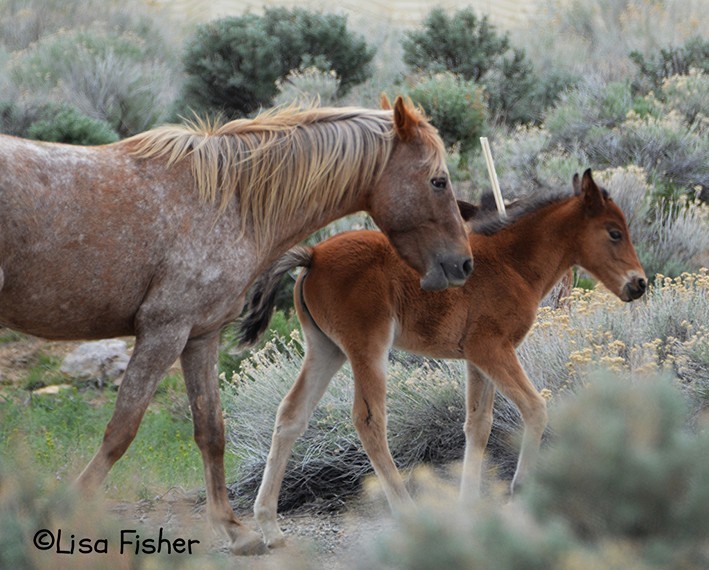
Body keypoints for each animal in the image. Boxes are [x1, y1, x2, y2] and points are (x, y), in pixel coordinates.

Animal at [0, 96, 472, 554]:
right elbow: (121, 430)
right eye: (438, 181)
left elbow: (211, 430)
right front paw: (60, 513)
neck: (227, 201)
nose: (463, 263)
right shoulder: (163, 331)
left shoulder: (199, 337)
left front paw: (235, 529)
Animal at [238, 169, 647, 548]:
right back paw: (406, 513)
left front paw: (467, 505)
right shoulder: (492, 348)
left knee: (290, 415)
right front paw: (521, 487)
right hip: (367, 347)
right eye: (614, 232)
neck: (511, 262)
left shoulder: (477, 358)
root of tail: (314, 255)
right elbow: (535, 407)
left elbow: (478, 424)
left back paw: (269, 527)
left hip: (325, 349)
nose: (639, 283)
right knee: (369, 421)